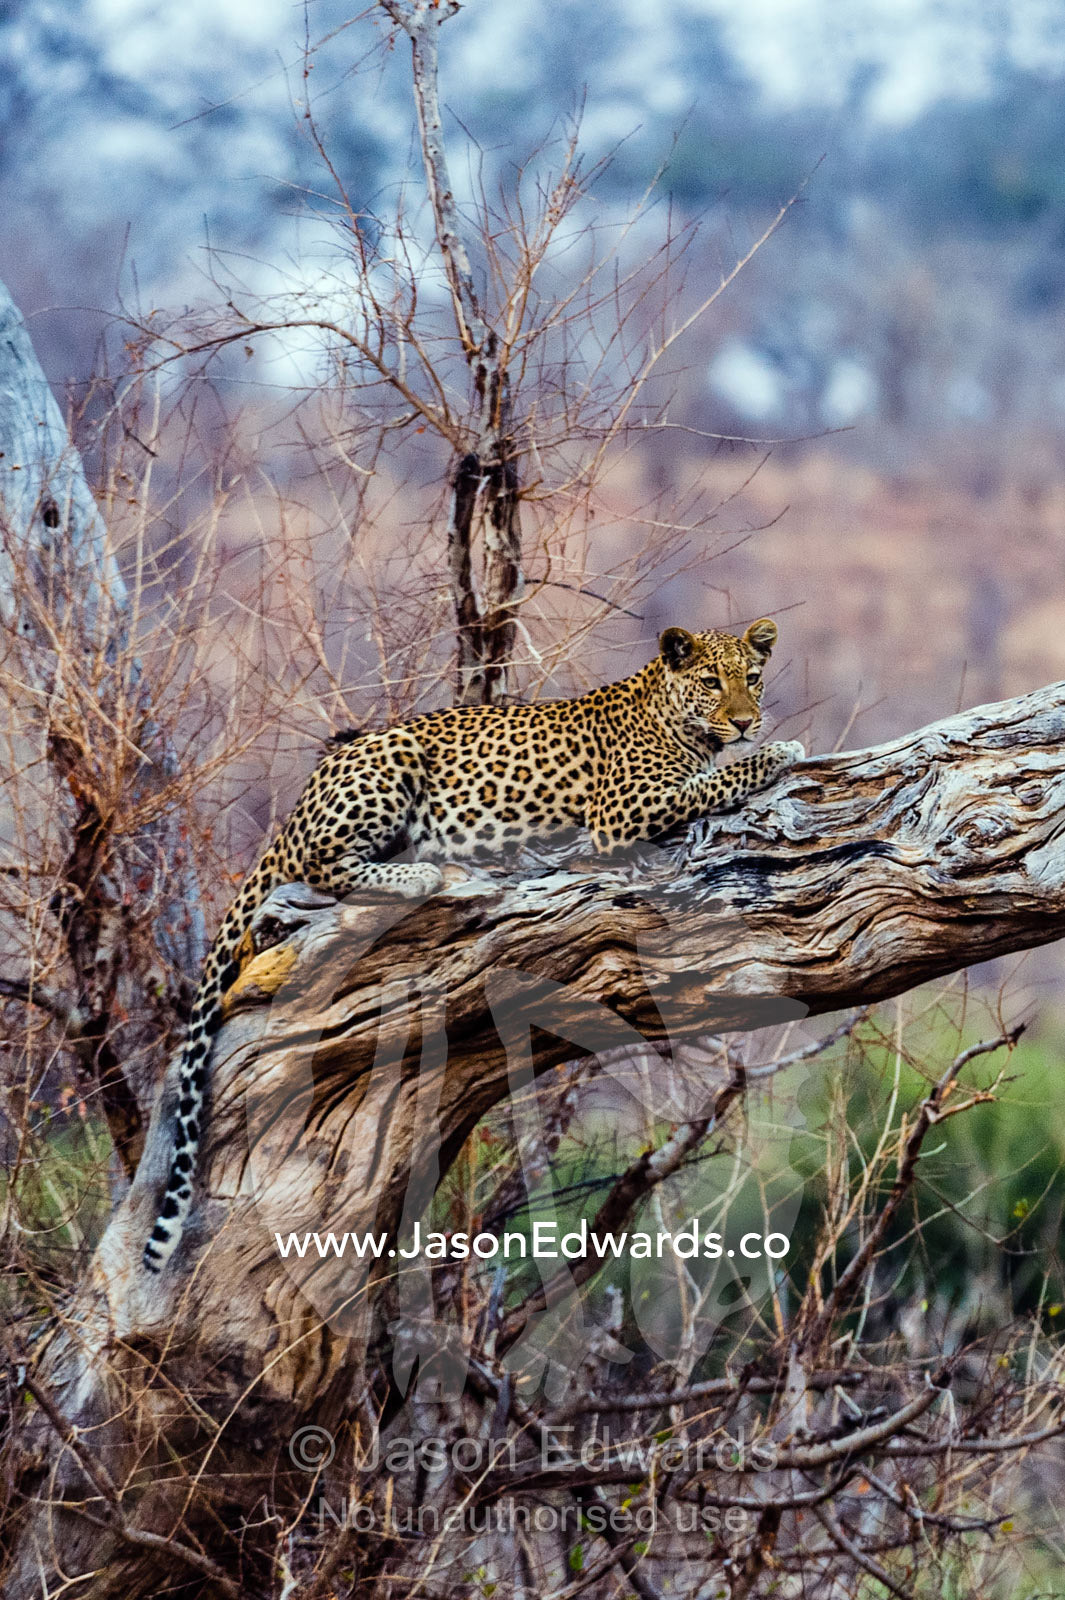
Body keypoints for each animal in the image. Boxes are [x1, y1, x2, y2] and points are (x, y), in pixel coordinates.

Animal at [143, 617, 804, 1272]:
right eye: (711, 682)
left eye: (751, 677)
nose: (745, 721)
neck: (676, 716)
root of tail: (300, 803)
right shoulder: (625, 809)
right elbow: (715, 778)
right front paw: (780, 752)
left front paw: (769, 745)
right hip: (390, 762)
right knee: (320, 862)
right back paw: (419, 872)